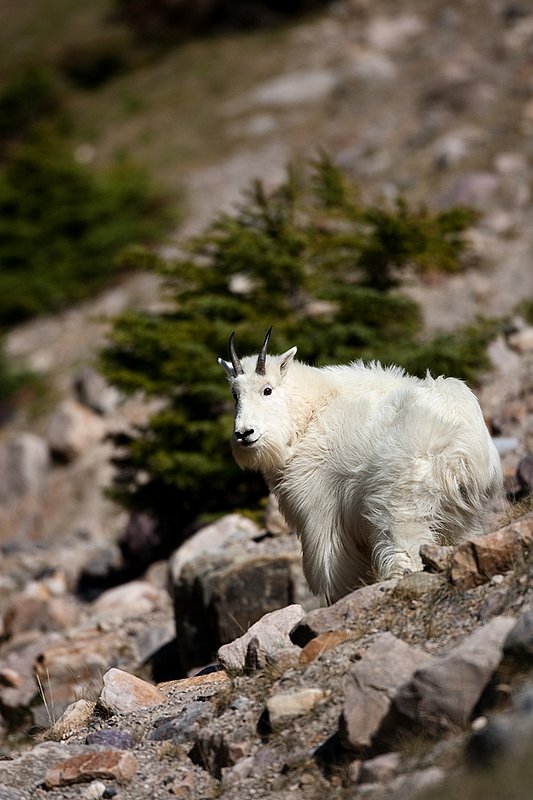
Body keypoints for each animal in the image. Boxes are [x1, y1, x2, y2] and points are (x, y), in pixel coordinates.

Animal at [218, 328, 503, 603]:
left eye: (267, 390)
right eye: (235, 394)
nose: (244, 433)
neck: (309, 416)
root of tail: (462, 453)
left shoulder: (321, 512)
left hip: (403, 505)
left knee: (408, 552)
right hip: (465, 513)